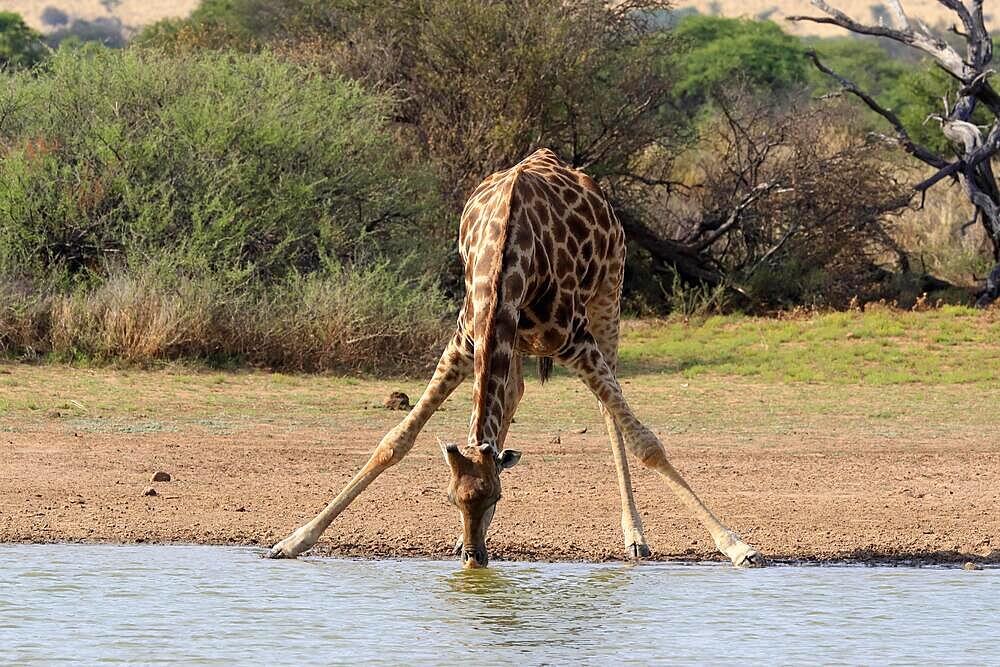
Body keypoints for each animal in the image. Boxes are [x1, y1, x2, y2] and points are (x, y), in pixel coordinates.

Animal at [266, 147, 764, 568]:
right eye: (452, 498)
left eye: (498, 498)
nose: (475, 558)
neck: (507, 259)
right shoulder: (464, 344)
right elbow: (394, 441)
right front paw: (293, 540)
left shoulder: (575, 341)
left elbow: (647, 443)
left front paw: (737, 546)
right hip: (519, 343)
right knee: (515, 394)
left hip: (609, 298)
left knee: (609, 415)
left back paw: (635, 537)